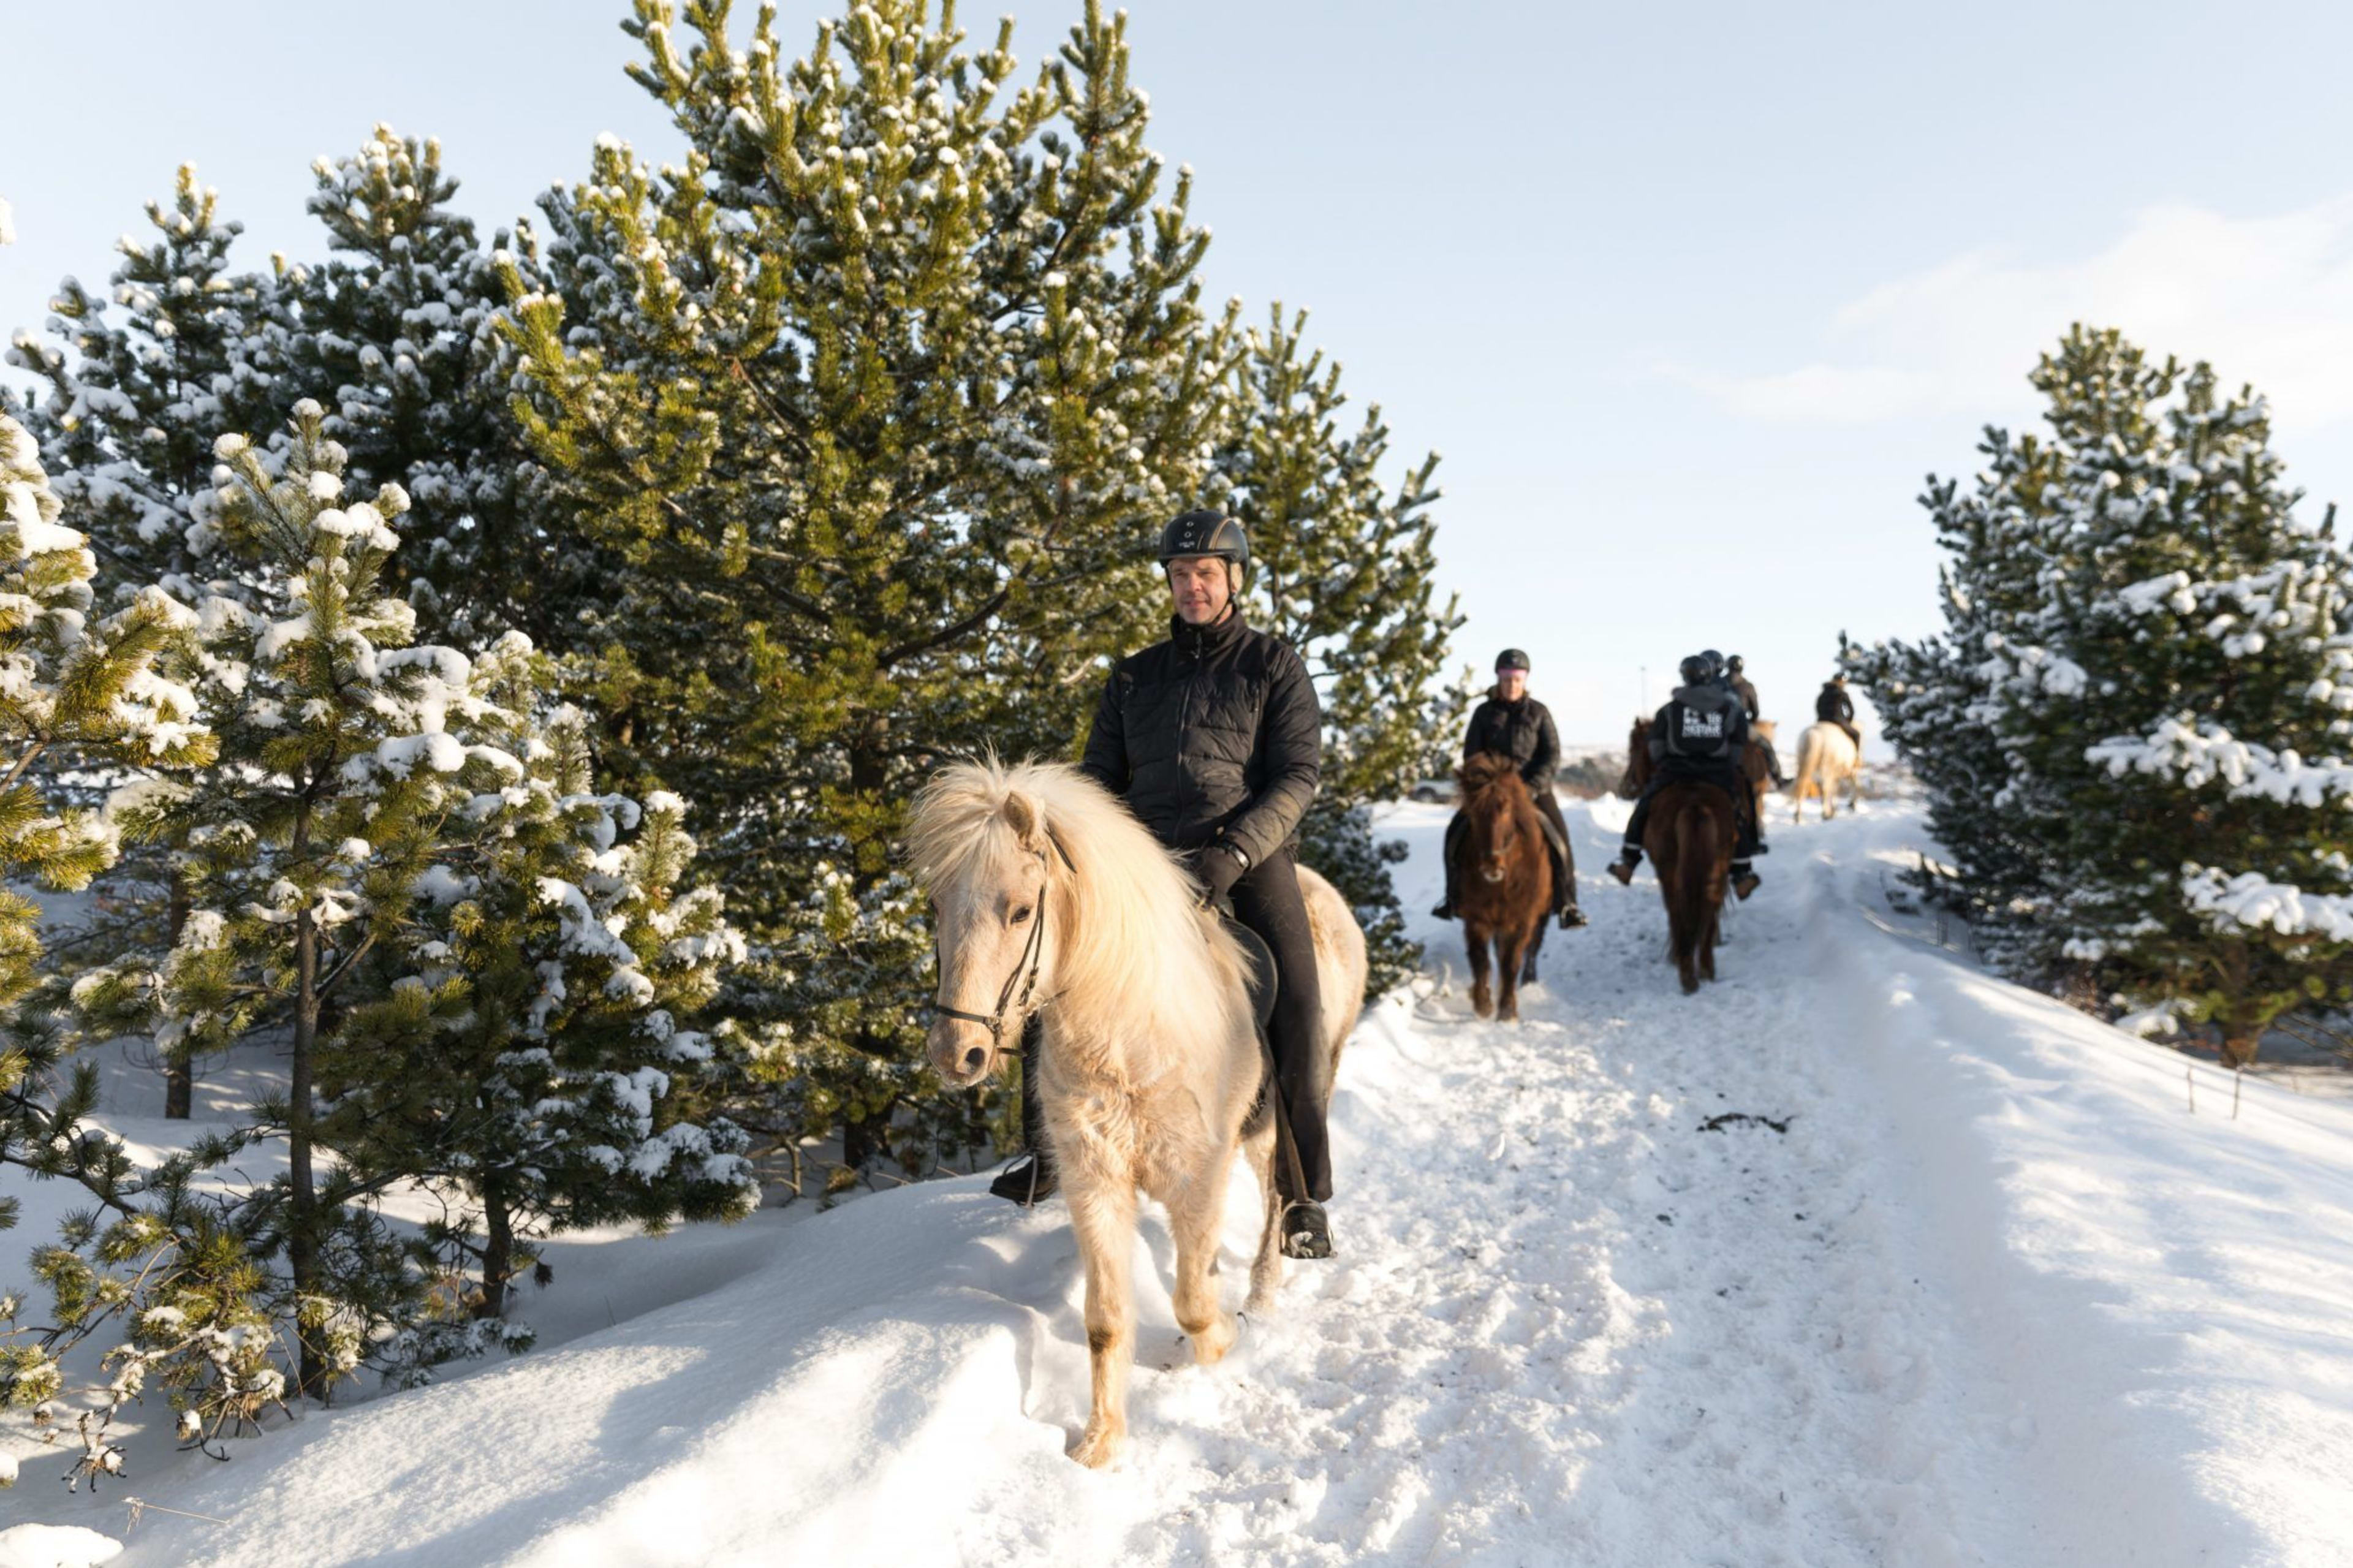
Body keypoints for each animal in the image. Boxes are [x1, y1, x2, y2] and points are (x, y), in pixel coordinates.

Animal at [908, 758, 1374, 1469]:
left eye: (1020, 910)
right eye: (936, 906)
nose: (955, 1052)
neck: (1130, 1038)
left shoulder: (1198, 1177)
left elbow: (1191, 1303)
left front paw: (1223, 1342)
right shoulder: (1094, 1184)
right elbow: (1106, 1319)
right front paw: (1099, 1443)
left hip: (1278, 1120)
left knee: (1279, 1197)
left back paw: (1266, 1288)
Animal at [1440, 753, 1553, 1021]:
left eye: (1506, 807)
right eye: (1472, 811)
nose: (1492, 864)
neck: (1502, 884)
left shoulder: (1522, 920)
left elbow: (1512, 962)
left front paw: (1507, 1010)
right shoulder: (1477, 919)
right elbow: (1480, 960)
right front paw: (1483, 1004)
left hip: (1540, 916)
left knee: (1532, 949)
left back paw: (1528, 982)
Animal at [1628, 711, 1741, 988]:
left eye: (1632, 749)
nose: (1628, 785)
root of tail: (1695, 805)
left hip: (1669, 870)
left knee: (1678, 909)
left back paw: (1686, 971)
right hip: (1719, 866)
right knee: (1710, 907)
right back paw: (1706, 967)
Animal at [1788, 720, 1863, 819]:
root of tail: (1814, 734)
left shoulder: (1835, 776)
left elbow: (1834, 790)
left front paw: (1834, 809)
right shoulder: (1848, 772)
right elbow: (1850, 785)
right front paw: (1851, 805)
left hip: (1806, 768)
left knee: (1803, 786)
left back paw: (1798, 815)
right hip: (1826, 770)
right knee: (1825, 790)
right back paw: (1826, 814)